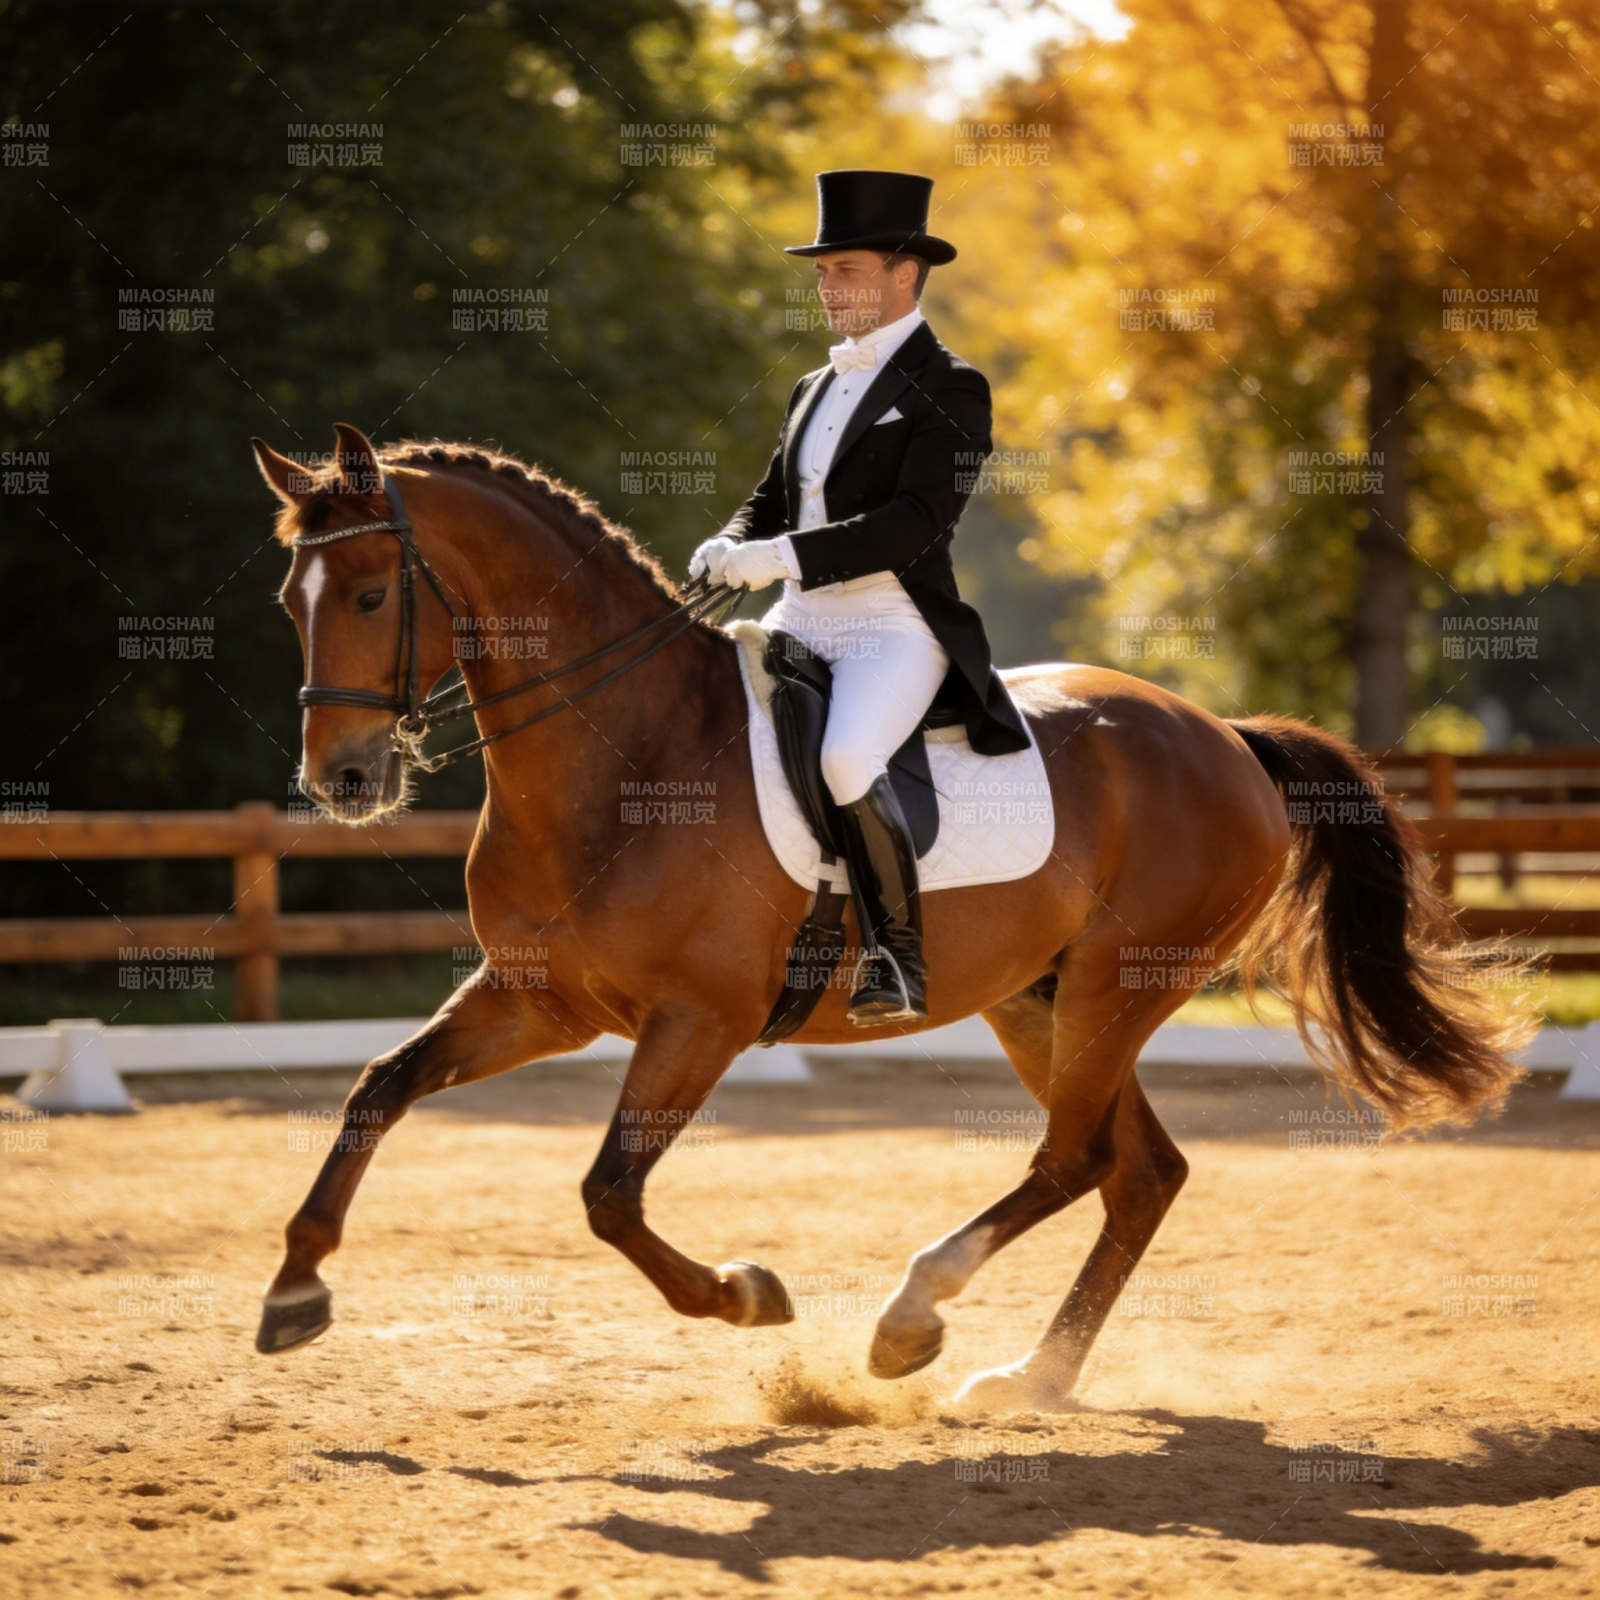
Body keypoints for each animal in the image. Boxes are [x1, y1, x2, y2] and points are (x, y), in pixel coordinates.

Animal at [249, 422, 1533, 1414]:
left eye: (370, 593)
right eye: (287, 604)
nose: (341, 781)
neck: (627, 752)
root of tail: (1224, 734)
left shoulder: (699, 1019)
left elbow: (609, 1194)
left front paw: (745, 1293)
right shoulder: (540, 1001)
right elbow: (378, 1089)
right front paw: (295, 1290)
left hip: (1120, 985)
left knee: (1075, 1158)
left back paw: (912, 1317)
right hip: (1038, 998)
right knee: (1140, 1173)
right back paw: (1032, 1378)